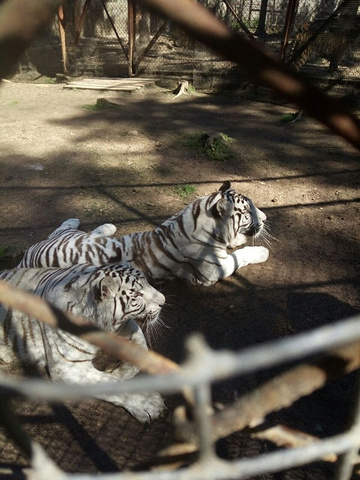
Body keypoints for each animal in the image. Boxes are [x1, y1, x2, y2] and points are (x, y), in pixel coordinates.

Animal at [0, 262, 166, 424]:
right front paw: (150, 403)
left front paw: (116, 371)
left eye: (148, 283)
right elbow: (108, 382)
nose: (163, 301)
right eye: (137, 294)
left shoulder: (124, 325)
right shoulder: (67, 367)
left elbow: (142, 351)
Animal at [18, 180, 268, 284]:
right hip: (67, 241)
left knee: (65, 230)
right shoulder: (213, 271)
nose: (265, 218)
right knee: (60, 230)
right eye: (247, 211)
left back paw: (104, 225)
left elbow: (235, 244)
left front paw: (238, 239)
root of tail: (26, 256)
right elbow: (240, 256)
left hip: (77, 238)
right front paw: (262, 252)